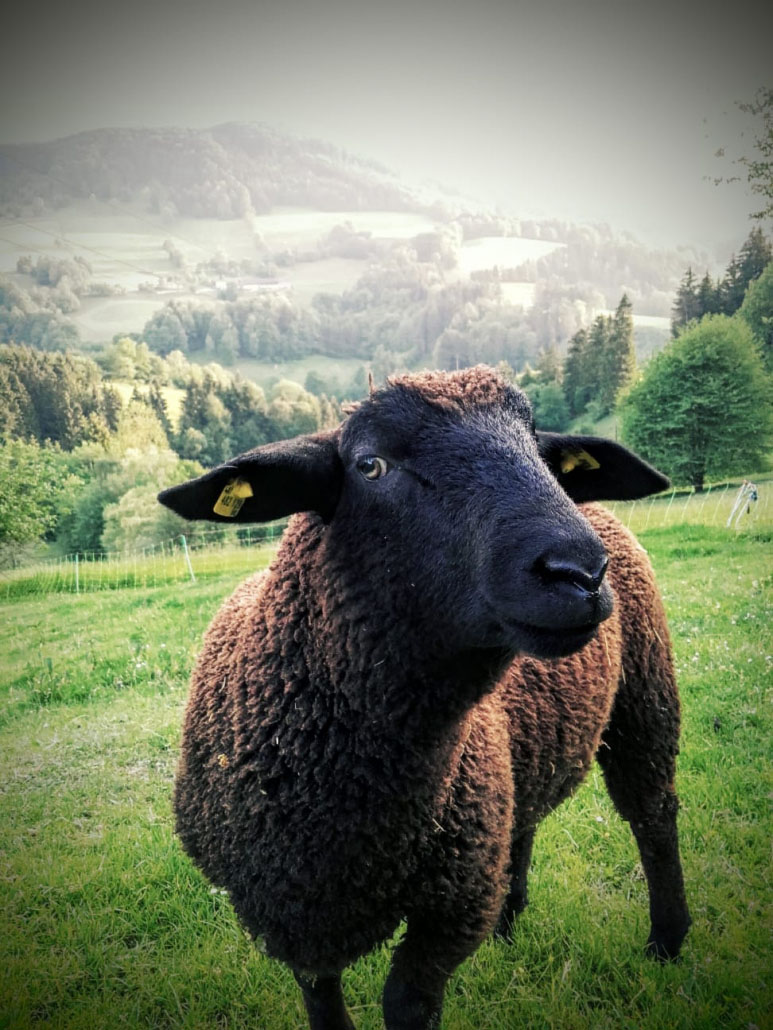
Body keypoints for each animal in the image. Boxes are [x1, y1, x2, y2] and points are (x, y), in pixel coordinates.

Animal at [158, 366, 691, 1030]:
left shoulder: (451, 904)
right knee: (525, 822)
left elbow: (408, 1003)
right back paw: (509, 926)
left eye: (538, 449)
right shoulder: (287, 915)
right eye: (370, 465)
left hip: (646, 688)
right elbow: (321, 998)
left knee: (653, 813)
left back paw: (667, 942)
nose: (580, 572)